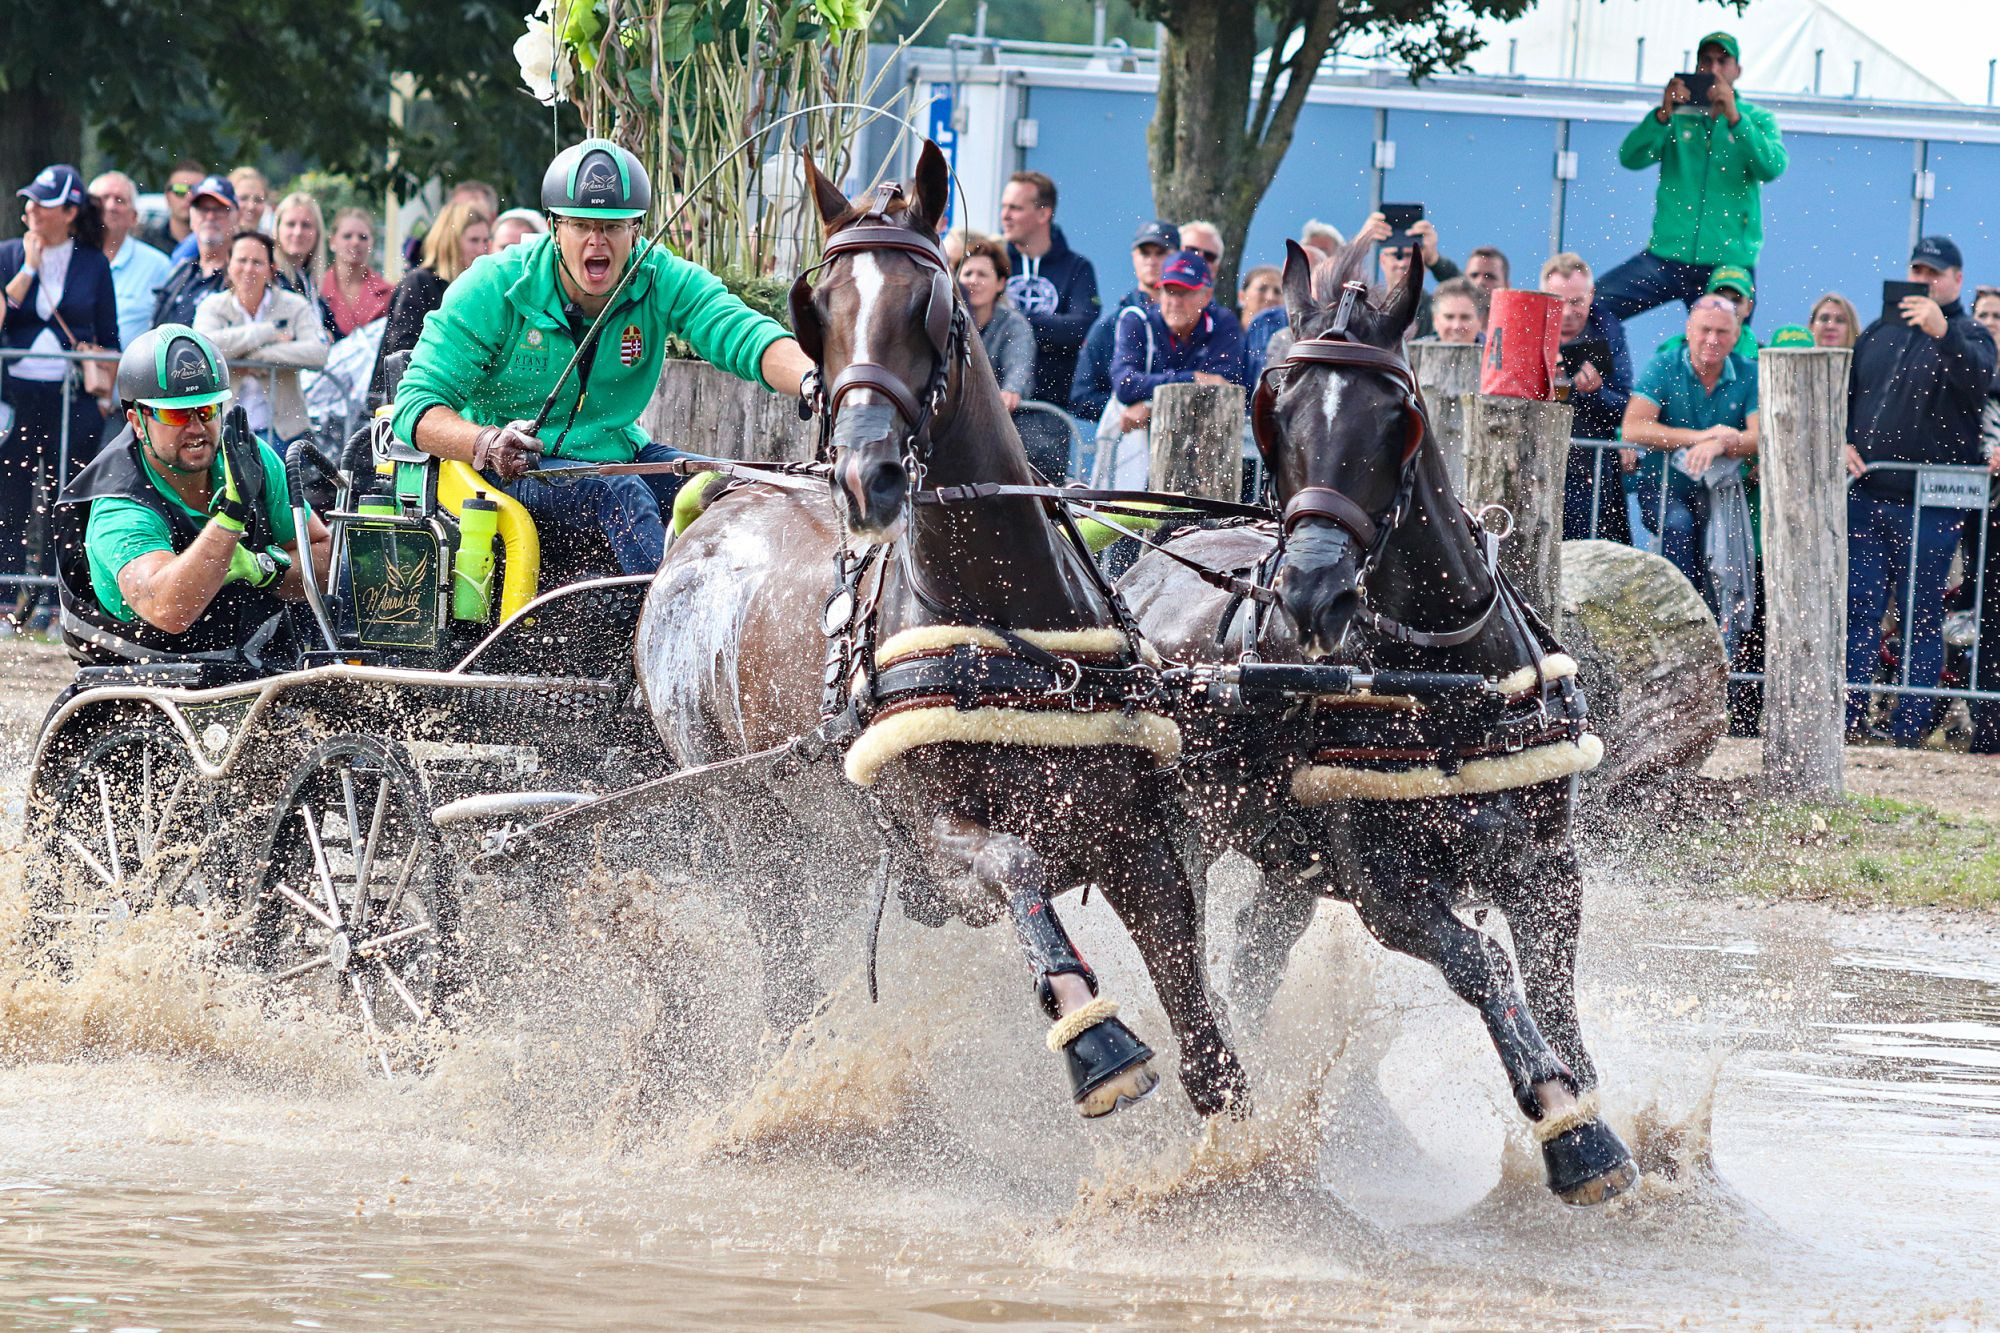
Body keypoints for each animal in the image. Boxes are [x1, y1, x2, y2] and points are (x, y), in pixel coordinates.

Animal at [632, 145, 1240, 1112]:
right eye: (819, 307)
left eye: (931, 302)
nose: (864, 476)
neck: (1005, 630)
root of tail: (706, 516)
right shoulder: (935, 842)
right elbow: (1016, 867)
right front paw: (1097, 1040)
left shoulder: (1135, 841)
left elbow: (1208, 1043)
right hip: (747, 821)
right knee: (781, 965)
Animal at [1128, 239, 1640, 1200]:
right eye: (1278, 411)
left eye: (1394, 417)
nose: (1308, 592)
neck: (1449, 689)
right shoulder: (1387, 893)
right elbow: (1485, 967)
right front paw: (1576, 1136)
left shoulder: (1549, 869)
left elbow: (1557, 996)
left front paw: (1593, 1111)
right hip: (1181, 828)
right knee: (1188, 946)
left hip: (1288, 867)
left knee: (1254, 956)